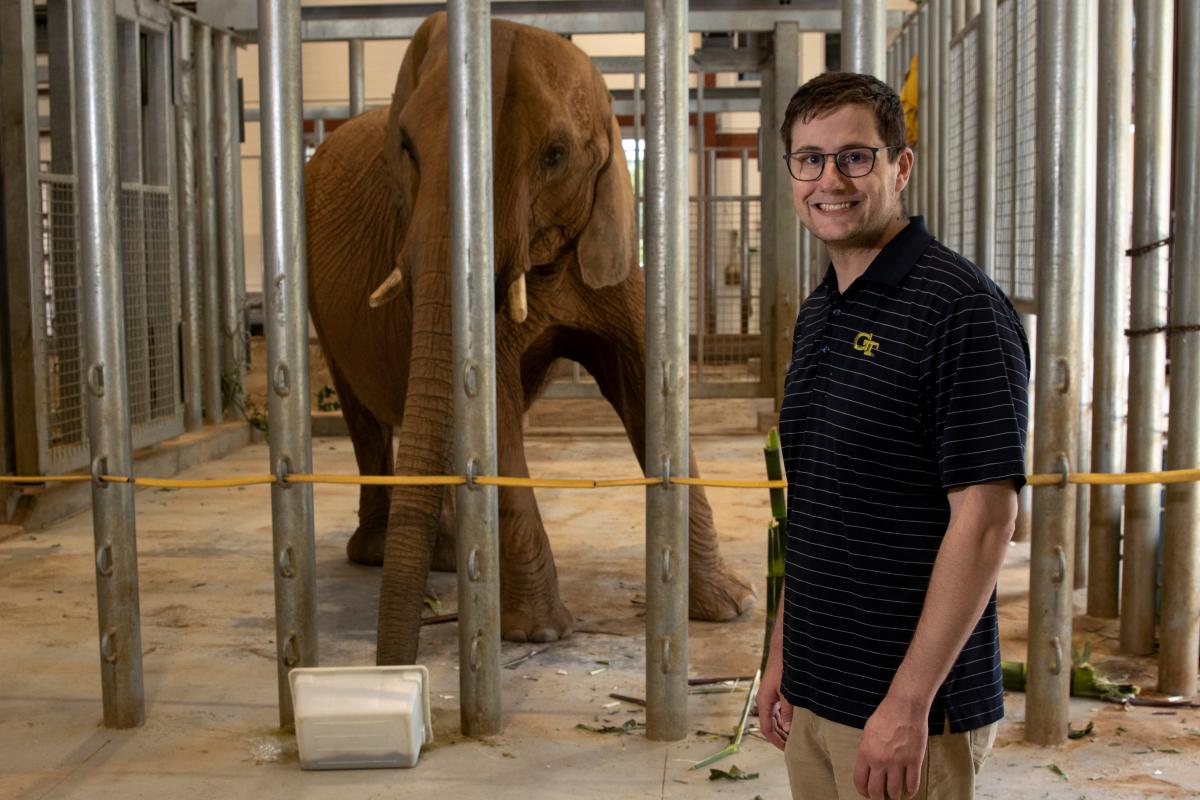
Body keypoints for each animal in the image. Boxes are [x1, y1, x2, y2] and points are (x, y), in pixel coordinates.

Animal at [309, 12, 753, 666]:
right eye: (407, 149)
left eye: (555, 155)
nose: (395, 666)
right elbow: (491, 405)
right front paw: (540, 634)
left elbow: (646, 390)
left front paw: (731, 609)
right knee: (364, 416)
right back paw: (382, 553)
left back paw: (446, 559)